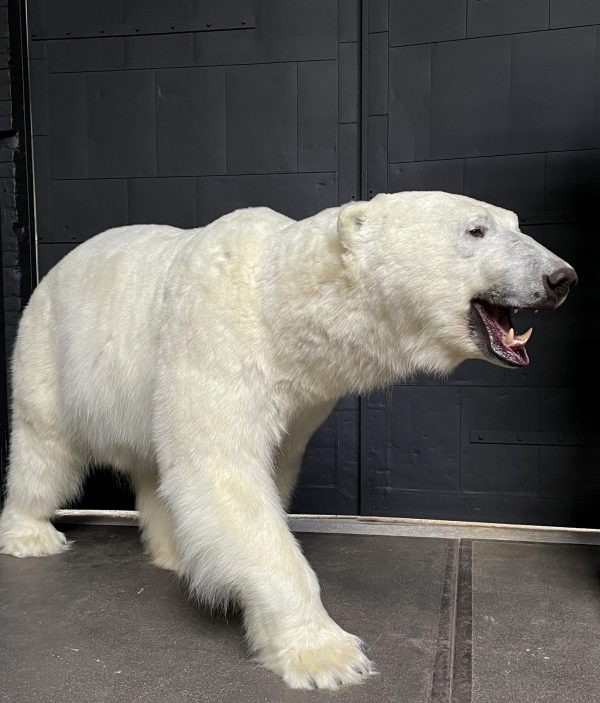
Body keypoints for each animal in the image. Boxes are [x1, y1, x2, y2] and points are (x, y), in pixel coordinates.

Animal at [0, 191, 576, 688]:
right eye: (475, 229)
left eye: (517, 223)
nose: (561, 277)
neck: (277, 300)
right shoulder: (214, 339)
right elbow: (223, 473)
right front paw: (328, 656)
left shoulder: (302, 398)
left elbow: (267, 470)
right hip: (49, 348)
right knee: (44, 448)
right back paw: (32, 534)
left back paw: (174, 553)